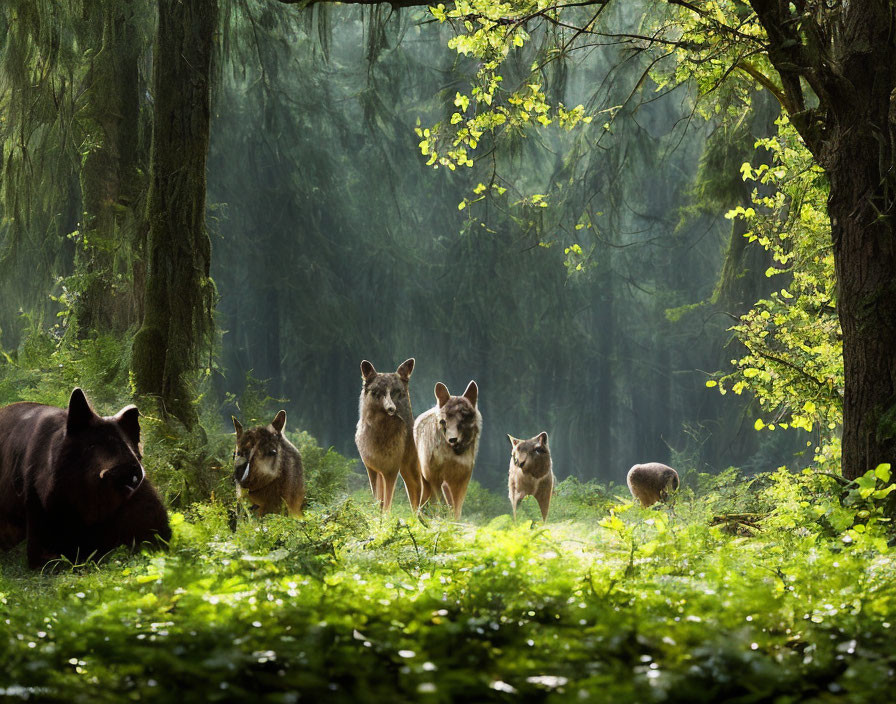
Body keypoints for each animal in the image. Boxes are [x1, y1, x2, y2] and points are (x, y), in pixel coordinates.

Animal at [354, 358, 424, 512]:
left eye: (395, 392)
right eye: (377, 392)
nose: (391, 408)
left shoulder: (391, 471)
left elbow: (387, 504)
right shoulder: (372, 469)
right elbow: (377, 500)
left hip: (410, 472)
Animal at [414, 382, 484, 520]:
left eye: (463, 419)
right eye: (443, 421)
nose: (452, 439)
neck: (453, 455)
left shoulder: (462, 480)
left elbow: (457, 509)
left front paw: (454, 522)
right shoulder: (435, 478)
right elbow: (444, 503)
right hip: (425, 478)